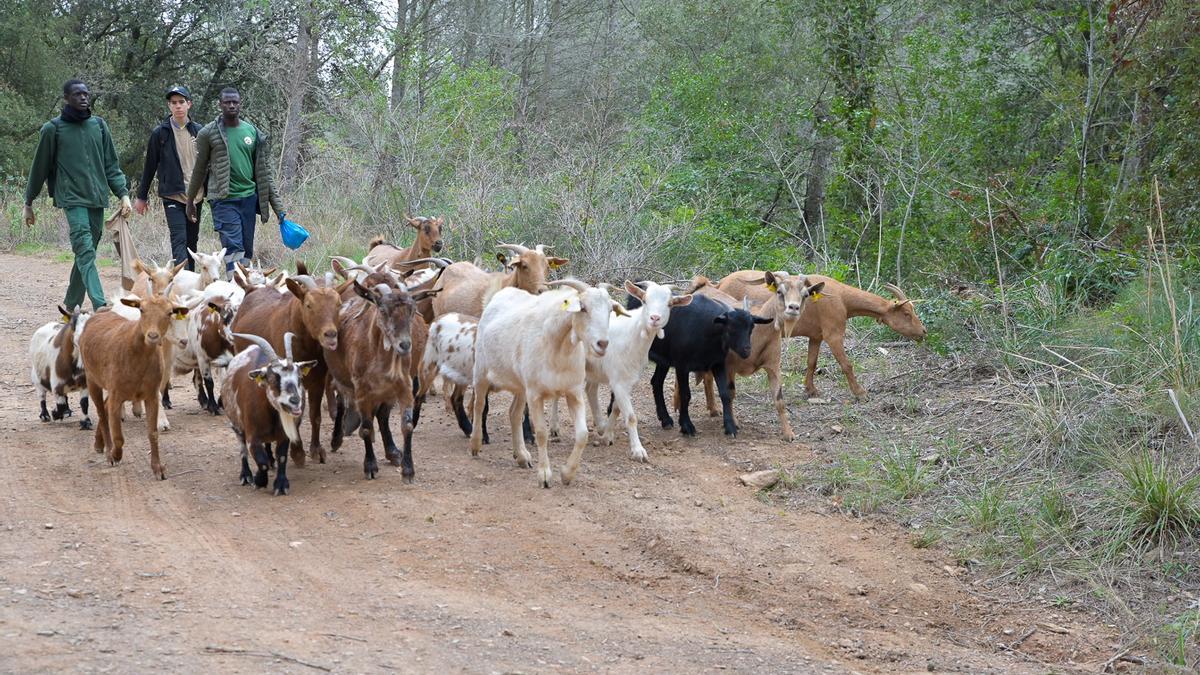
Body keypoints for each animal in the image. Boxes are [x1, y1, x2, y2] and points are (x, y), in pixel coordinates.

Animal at [81, 291, 189, 475]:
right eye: (141, 309)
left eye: (169, 312)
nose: (152, 336)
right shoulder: (117, 394)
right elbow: (118, 437)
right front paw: (115, 455)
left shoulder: (151, 395)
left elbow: (153, 433)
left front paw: (157, 468)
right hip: (92, 379)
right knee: (102, 414)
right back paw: (107, 451)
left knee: (105, 407)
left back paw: (98, 444)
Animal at [220, 331, 314, 494]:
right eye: (273, 379)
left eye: (299, 378)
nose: (295, 400)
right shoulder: (252, 437)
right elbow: (260, 461)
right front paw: (259, 480)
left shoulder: (283, 436)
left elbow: (282, 457)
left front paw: (281, 485)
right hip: (236, 425)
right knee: (243, 450)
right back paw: (245, 476)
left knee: (268, 445)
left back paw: (271, 461)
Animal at [468, 276, 619, 485]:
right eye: (583, 308)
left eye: (610, 310)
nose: (602, 344)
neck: (558, 349)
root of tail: (498, 296)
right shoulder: (536, 394)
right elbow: (541, 433)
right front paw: (545, 475)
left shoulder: (573, 392)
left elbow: (582, 435)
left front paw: (567, 473)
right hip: (481, 371)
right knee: (479, 404)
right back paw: (475, 444)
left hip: (521, 386)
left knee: (514, 414)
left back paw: (522, 456)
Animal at [710, 270, 926, 398]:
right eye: (907, 314)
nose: (923, 331)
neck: (842, 298)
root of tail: (720, 283)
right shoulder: (834, 334)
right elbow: (846, 365)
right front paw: (860, 393)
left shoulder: (816, 337)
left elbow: (812, 362)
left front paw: (810, 390)